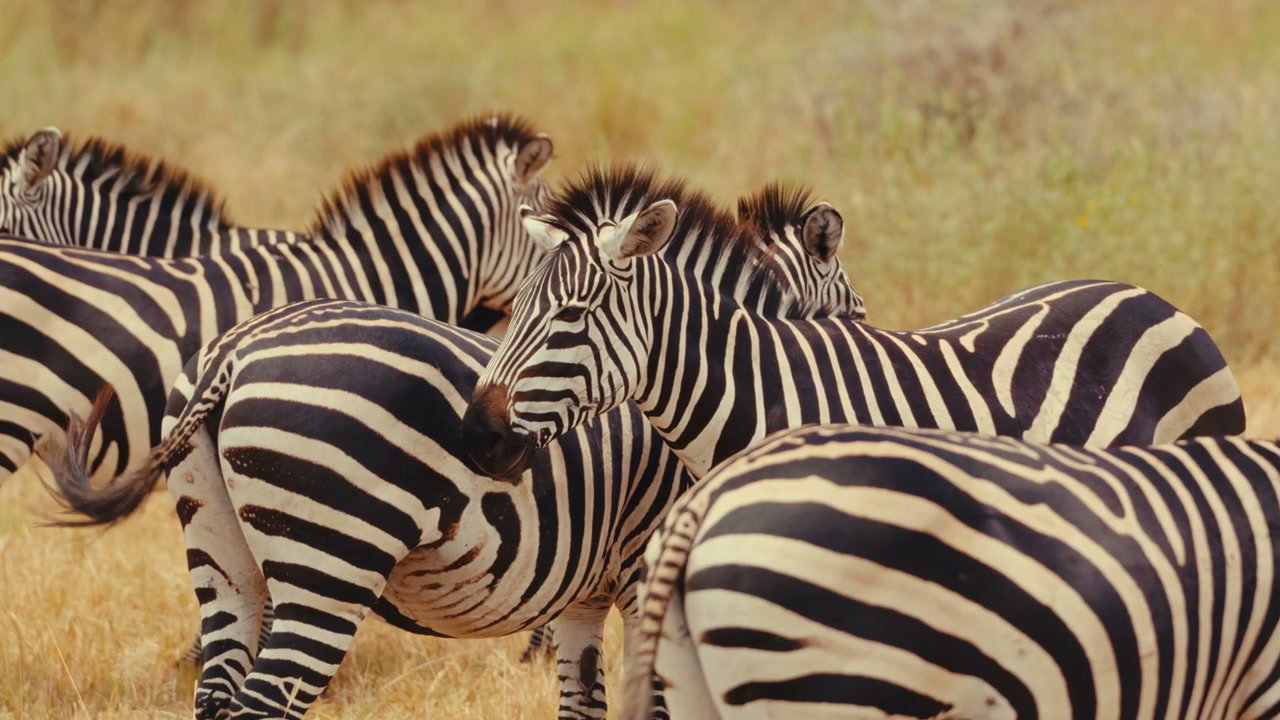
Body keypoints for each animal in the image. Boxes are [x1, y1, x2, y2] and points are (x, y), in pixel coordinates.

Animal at [43, 186, 869, 719]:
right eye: (854, 315)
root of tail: (238, 350)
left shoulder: (586, 589)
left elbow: (585, 701)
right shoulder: (642, 573)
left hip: (221, 552)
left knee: (218, 688)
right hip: (329, 557)